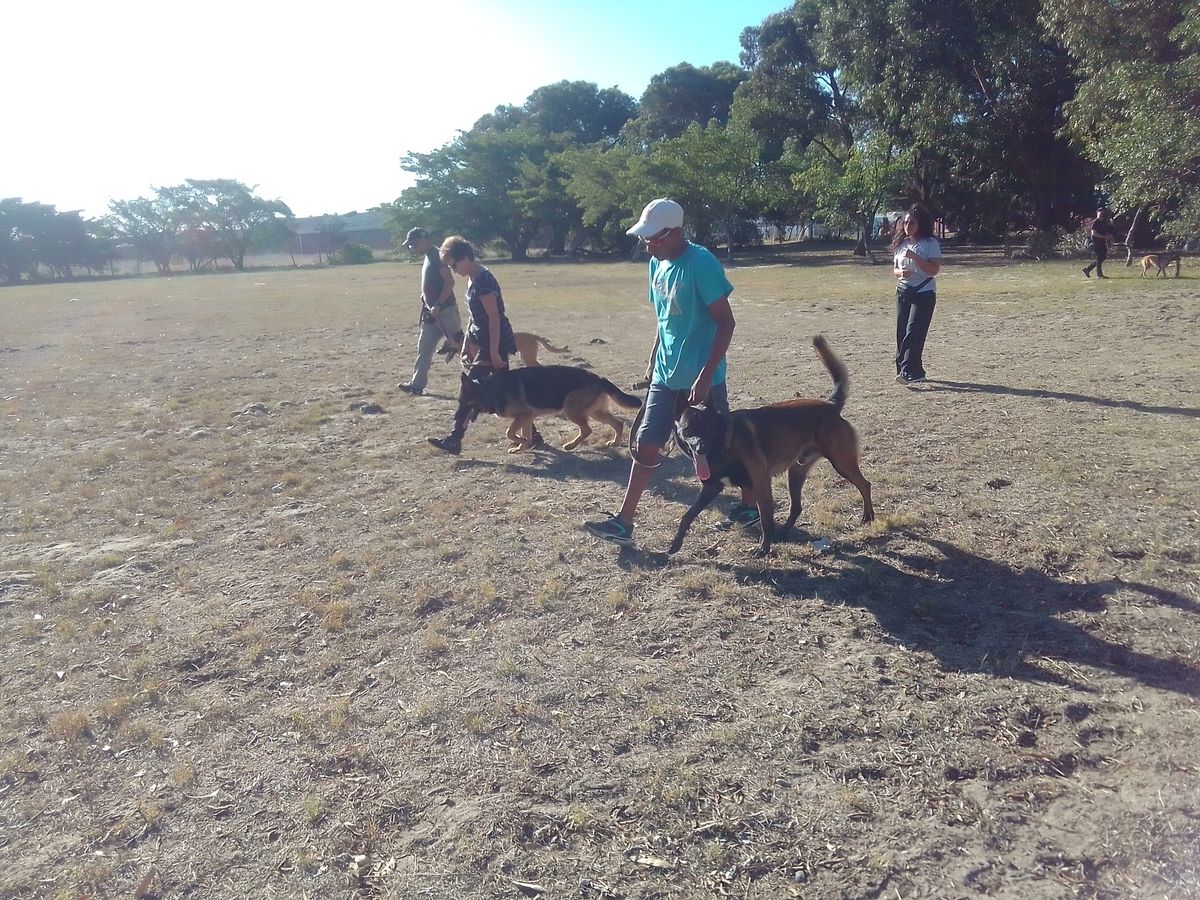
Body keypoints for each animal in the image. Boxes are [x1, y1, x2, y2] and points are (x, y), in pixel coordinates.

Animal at [453, 364, 643, 453]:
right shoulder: (527, 417)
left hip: (570, 409)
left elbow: (509, 432)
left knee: (587, 429)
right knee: (618, 423)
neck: (489, 390)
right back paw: (614, 442)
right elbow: (525, 434)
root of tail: (599, 377)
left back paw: (571, 445)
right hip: (596, 412)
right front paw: (522, 447)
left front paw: (520, 443)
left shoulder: (523, 415)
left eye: (463, 403)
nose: (454, 418)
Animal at [667, 336, 873, 554]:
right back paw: (783, 534)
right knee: (796, 507)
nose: (701, 448)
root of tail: (831, 406)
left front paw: (764, 548)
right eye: (688, 429)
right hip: (796, 473)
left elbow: (766, 519)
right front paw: (675, 544)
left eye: (708, 428)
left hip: (841, 463)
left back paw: (868, 516)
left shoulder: (760, 483)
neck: (724, 445)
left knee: (864, 484)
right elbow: (688, 515)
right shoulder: (712, 487)